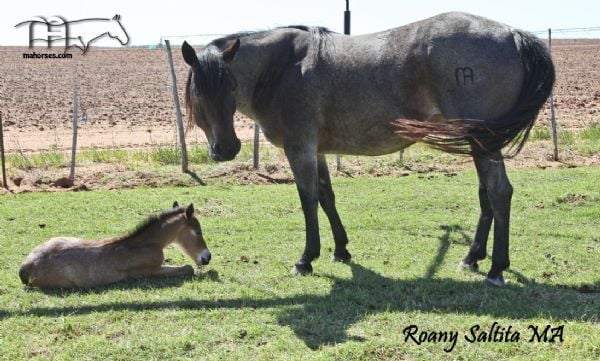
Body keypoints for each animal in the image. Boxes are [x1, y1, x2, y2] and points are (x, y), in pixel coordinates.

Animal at [19, 201, 211, 288]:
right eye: (198, 231)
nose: (207, 257)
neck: (145, 243)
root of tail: (27, 265)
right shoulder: (147, 271)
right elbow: (188, 268)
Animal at [180, 12, 556, 286]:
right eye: (199, 91)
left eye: (231, 85)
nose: (225, 149)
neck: (283, 67)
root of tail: (513, 34)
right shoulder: (317, 150)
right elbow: (326, 196)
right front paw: (341, 250)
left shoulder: (299, 148)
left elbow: (308, 201)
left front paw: (307, 258)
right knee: (486, 195)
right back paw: (473, 258)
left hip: (483, 142)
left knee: (499, 193)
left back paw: (496, 268)